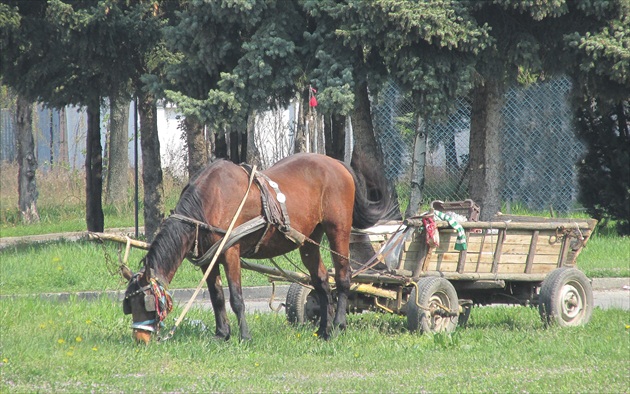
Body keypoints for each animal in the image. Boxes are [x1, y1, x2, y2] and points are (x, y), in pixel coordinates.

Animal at [121, 152, 392, 344]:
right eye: (129, 305)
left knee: (344, 278)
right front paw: (221, 333)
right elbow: (217, 297)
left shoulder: (230, 253)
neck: (210, 200)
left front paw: (244, 336)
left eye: (145, 302)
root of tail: (337, 163)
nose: (140, 339)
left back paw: (338, 325)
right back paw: (324, 329)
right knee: (322, 282)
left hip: (338, 230)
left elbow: (236, 298)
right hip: (308, 240)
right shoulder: (209, 260)